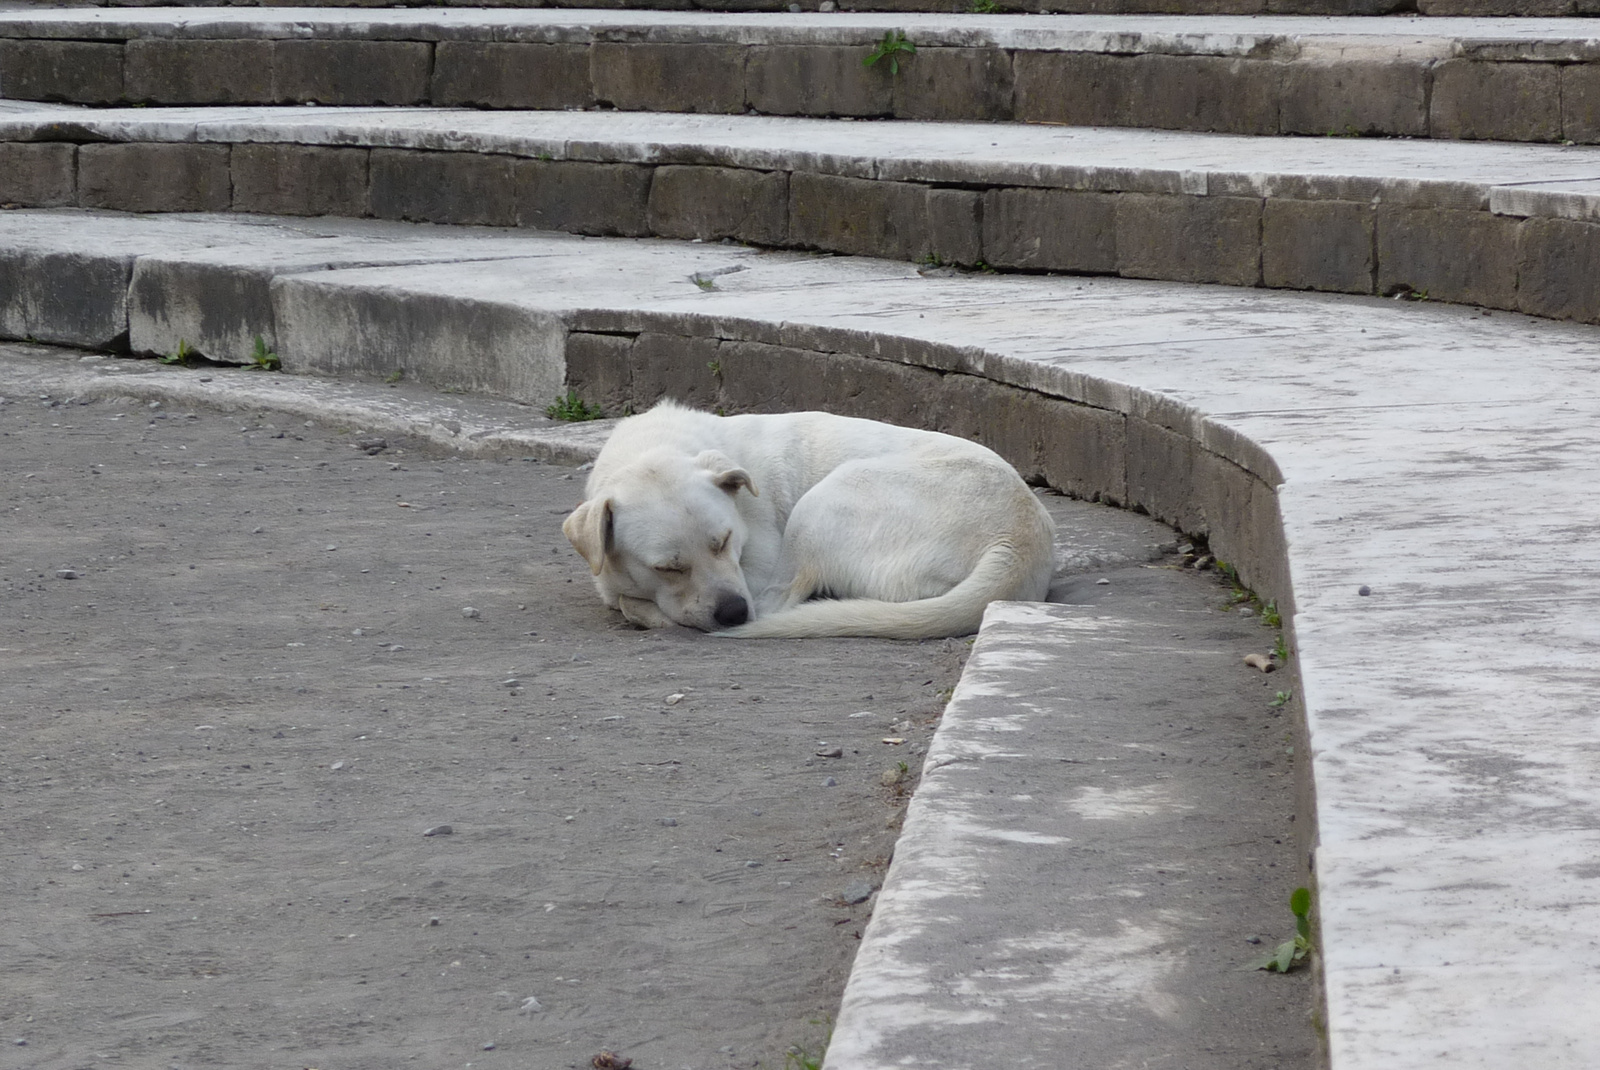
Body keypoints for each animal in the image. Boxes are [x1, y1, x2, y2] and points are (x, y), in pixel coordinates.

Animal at [556, 398, 1056, 633]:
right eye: (668, 567)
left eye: (725, 541)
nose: (733, 612)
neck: (655, 446)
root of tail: (1017, 540)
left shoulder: (756, 566)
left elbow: (630, 601)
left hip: (824, 502)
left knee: (780, 601)